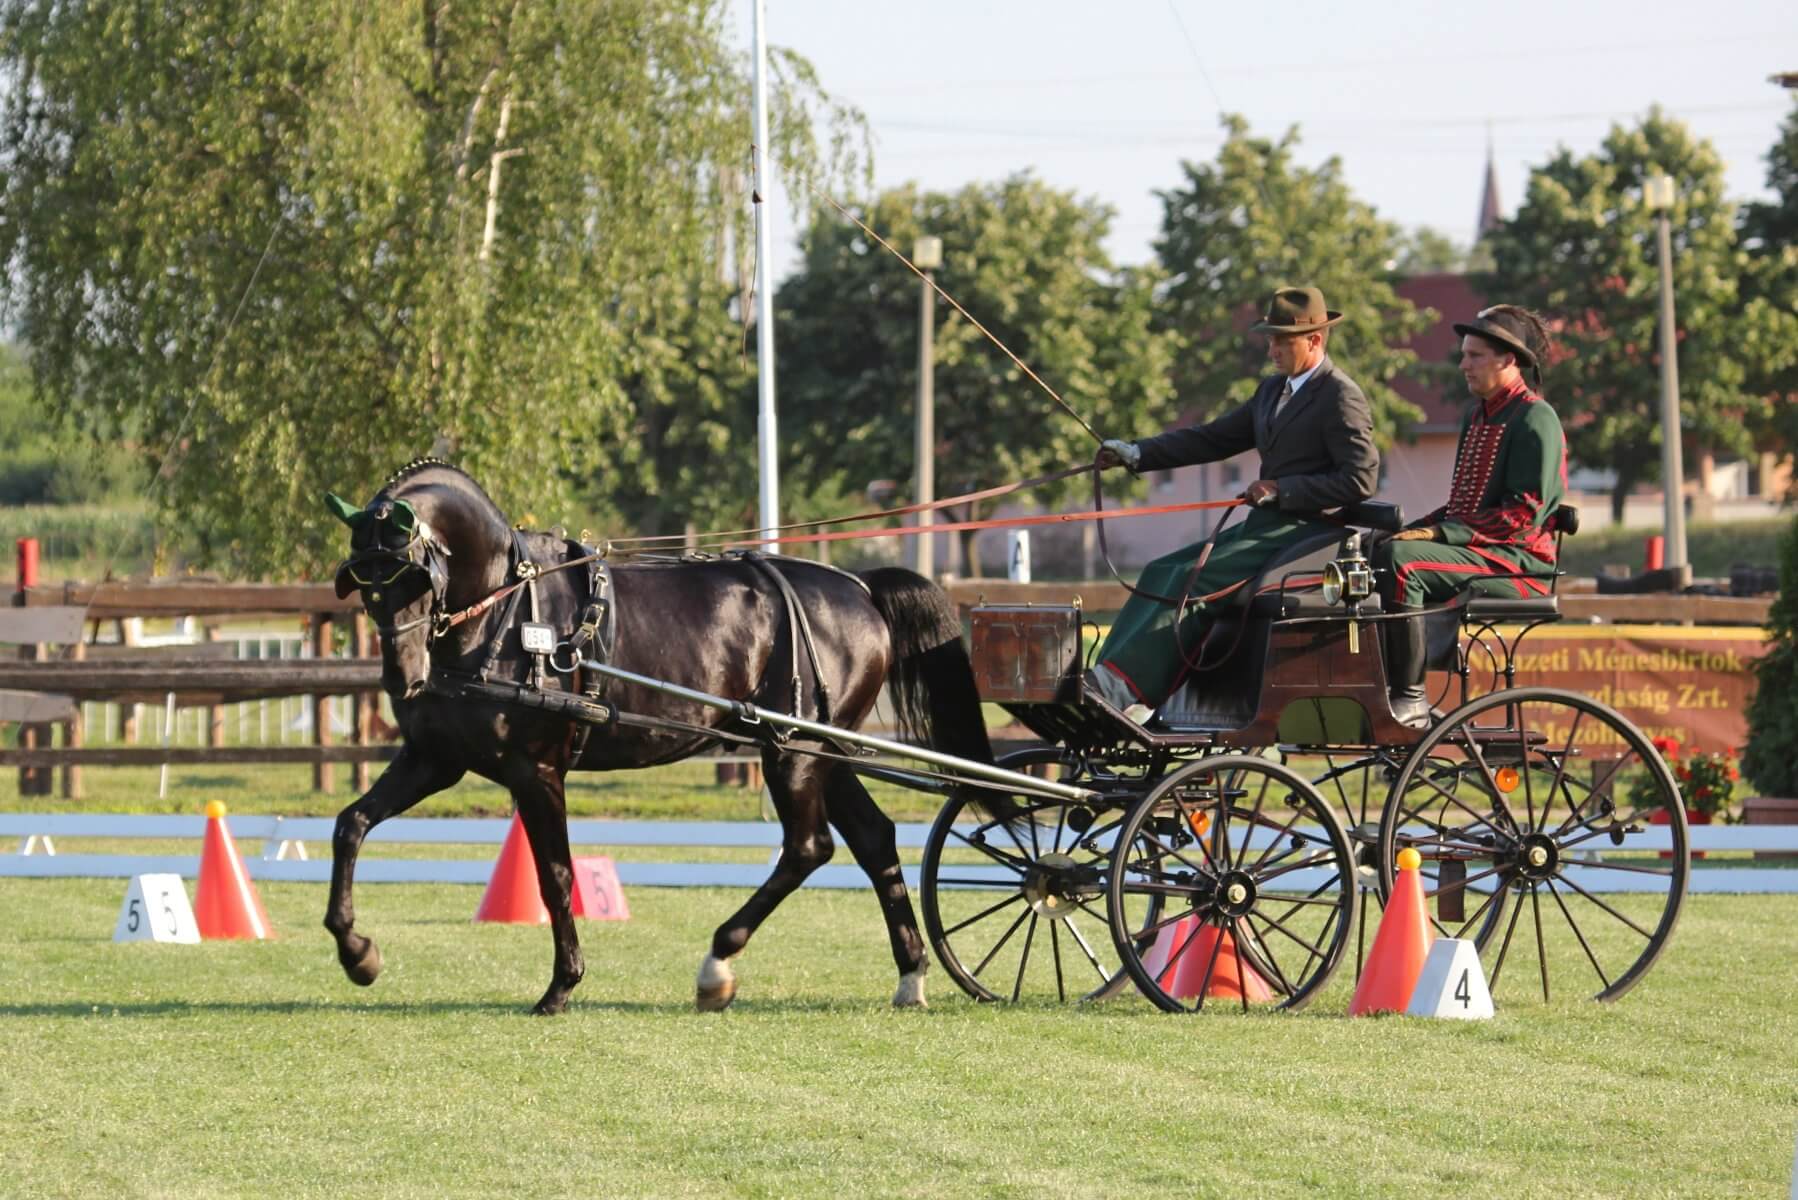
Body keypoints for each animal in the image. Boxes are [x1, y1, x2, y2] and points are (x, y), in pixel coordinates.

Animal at [323, 460, 999, 1014]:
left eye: (413, 575)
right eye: (363, 579)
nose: (403, 678)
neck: (506, 612)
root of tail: (859, 588)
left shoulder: (535, 770)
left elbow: (556, 875)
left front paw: (562, 986)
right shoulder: (435, 759)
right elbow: (351, 824)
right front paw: (358, 952)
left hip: (792, 754)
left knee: (809, 847)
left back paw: (718, 964)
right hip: (818, 751)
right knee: (873, 838)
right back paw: (910, 976)